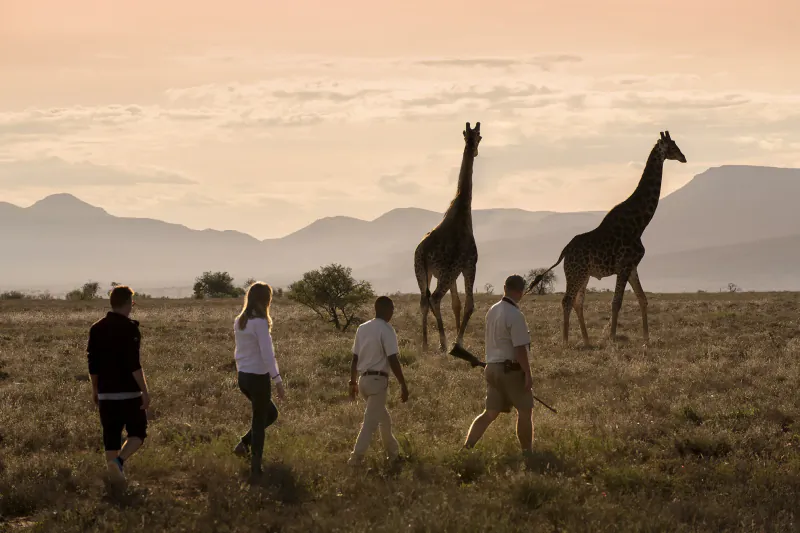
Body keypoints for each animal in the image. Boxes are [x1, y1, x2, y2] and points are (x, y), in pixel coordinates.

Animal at [413, 121, 482, 353]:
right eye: (480, 137)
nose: (476, 150)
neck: (462, 208)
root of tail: (423, 251)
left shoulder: (455, 271)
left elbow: (456, 304)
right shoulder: (469, 265)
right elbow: (469, 304)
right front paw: (458, 341)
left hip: (422, 271)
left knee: (423, 301)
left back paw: (425, 344)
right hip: (444, 272)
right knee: (434, 298)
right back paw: (443, 343)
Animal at [528, 131, 686, 346]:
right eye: (671, 146)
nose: (683, 157)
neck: (639, 224)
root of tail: (564, 251)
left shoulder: (632, 266)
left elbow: (642, 299)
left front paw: (646, 339)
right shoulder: (624, 265)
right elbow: (616, 302)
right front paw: (612, 338)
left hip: (584, 274)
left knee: (578, 302)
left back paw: (587, 340)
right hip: (576, 273)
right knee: (567, 300)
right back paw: (566, 341)